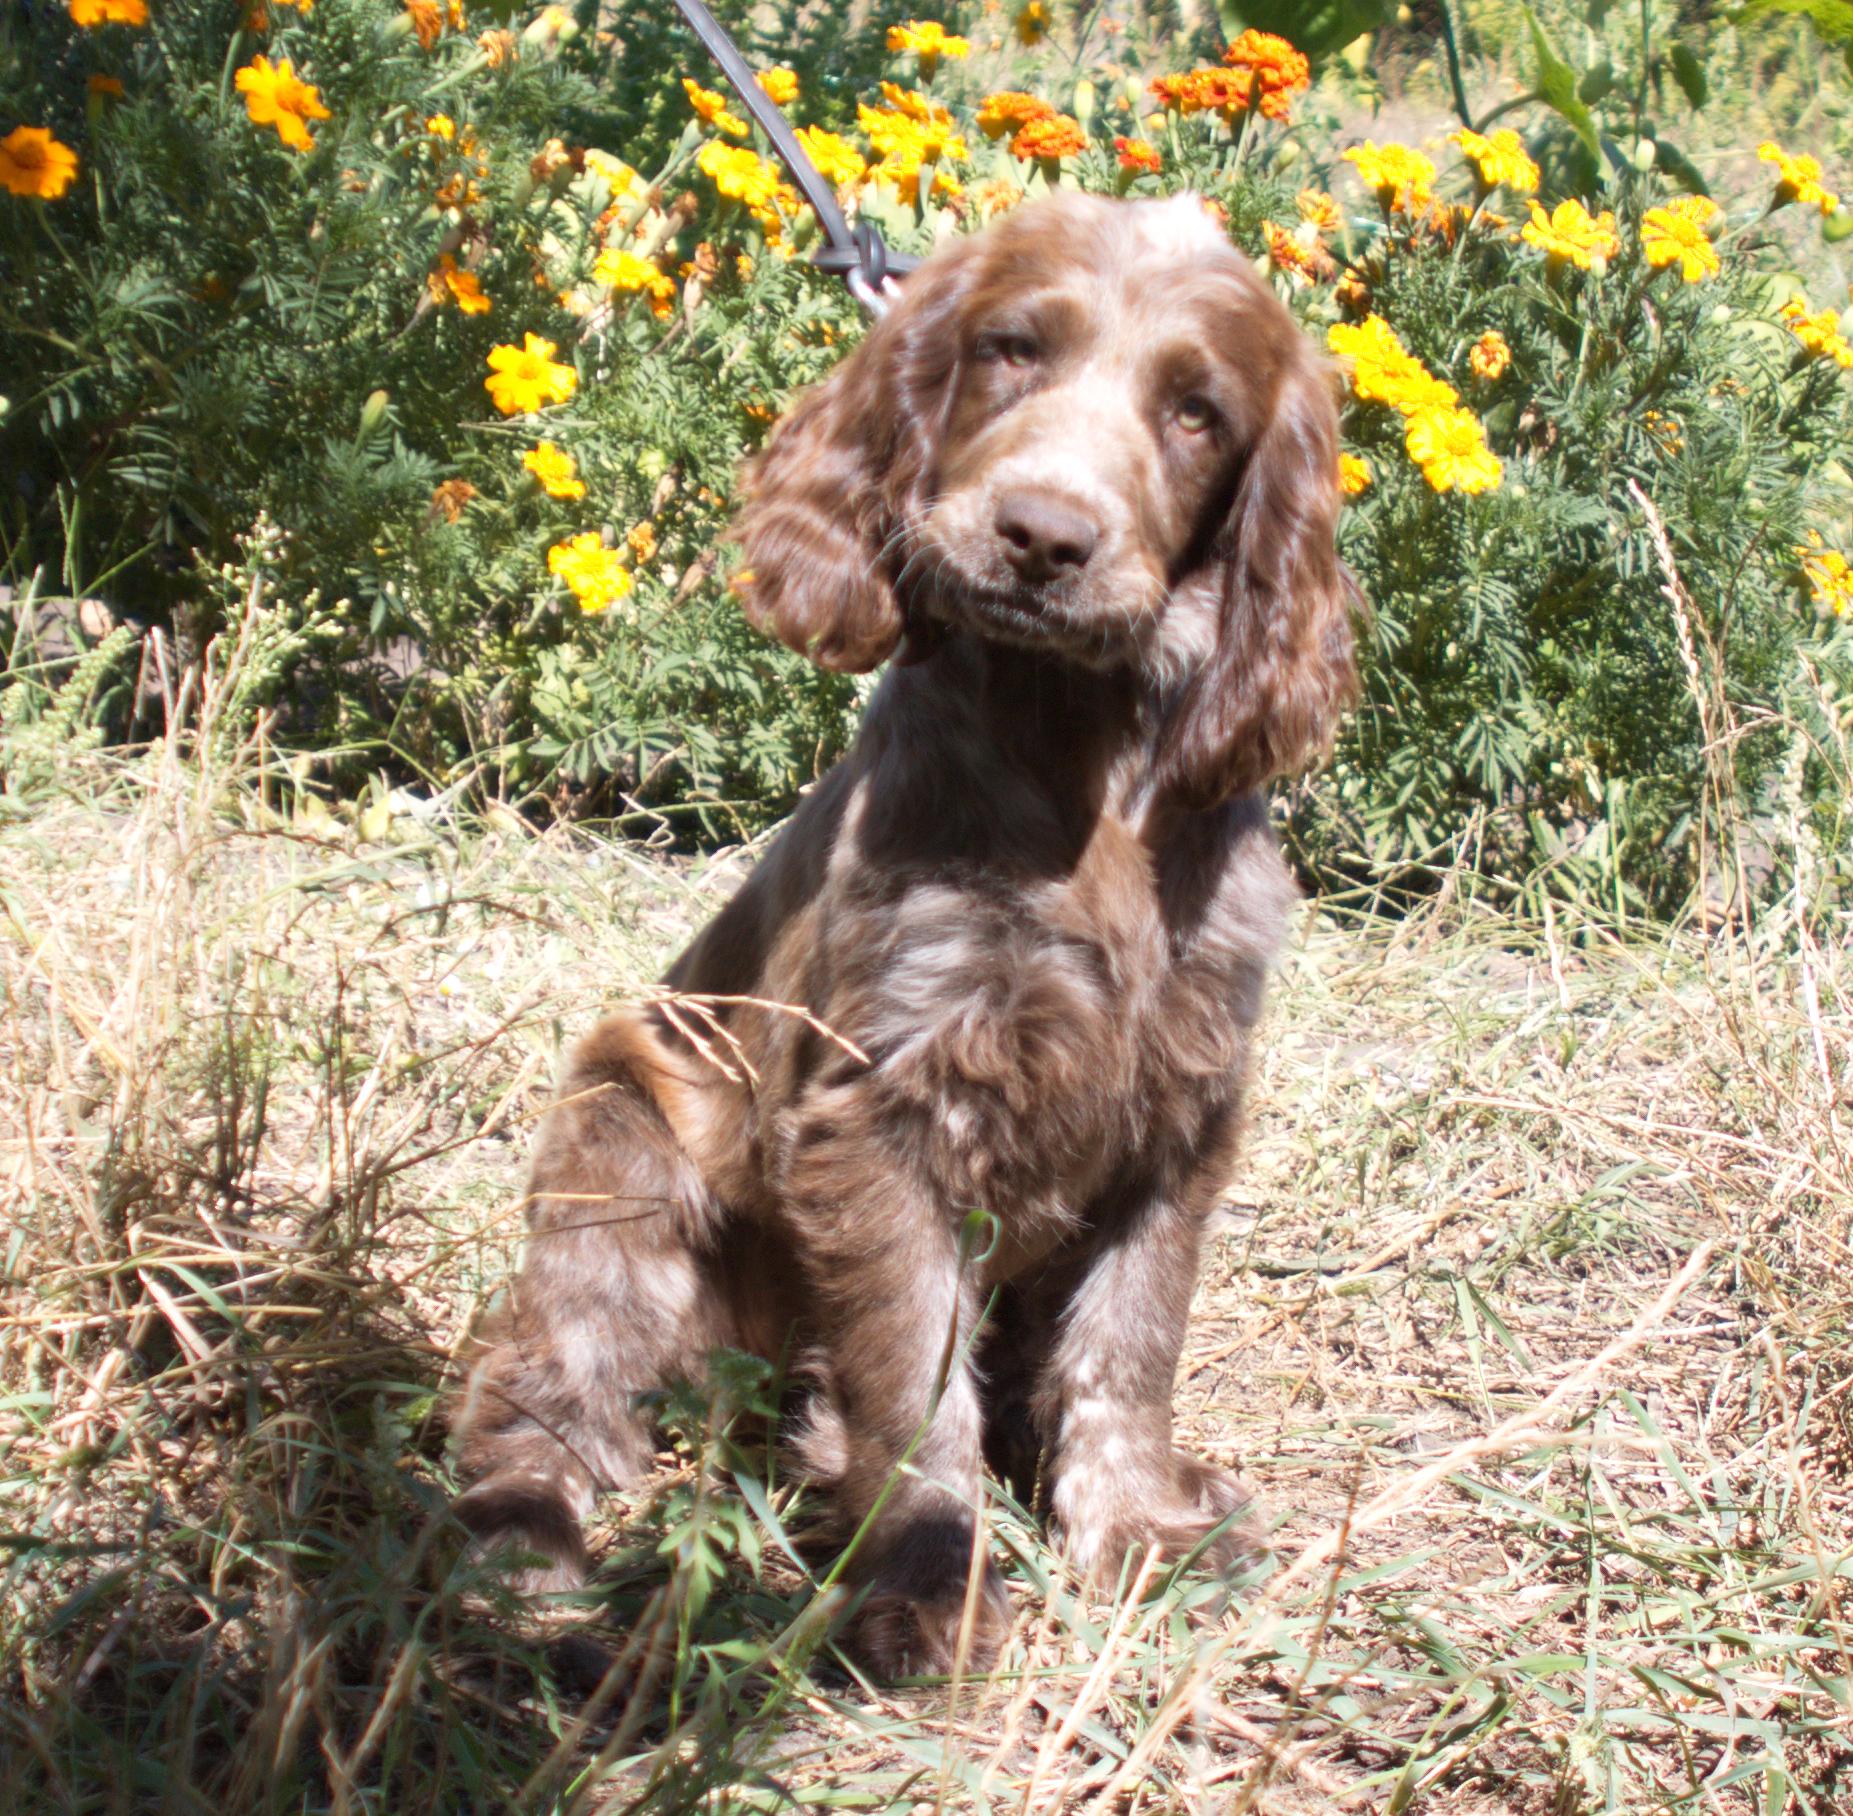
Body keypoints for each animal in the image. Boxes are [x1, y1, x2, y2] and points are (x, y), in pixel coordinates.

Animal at [448, 188, 1348, 1675]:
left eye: (1196, 412)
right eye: (1009, 349)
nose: (1043, 536)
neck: (1079, 746)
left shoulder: (1183, 1107)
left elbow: (1129, 1341)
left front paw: (1139, 1527)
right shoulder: (881, 1105)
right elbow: (917, 1381)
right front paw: (926, 1581)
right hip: (618, 1141)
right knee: (543, 1379)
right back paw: (520, 1540)